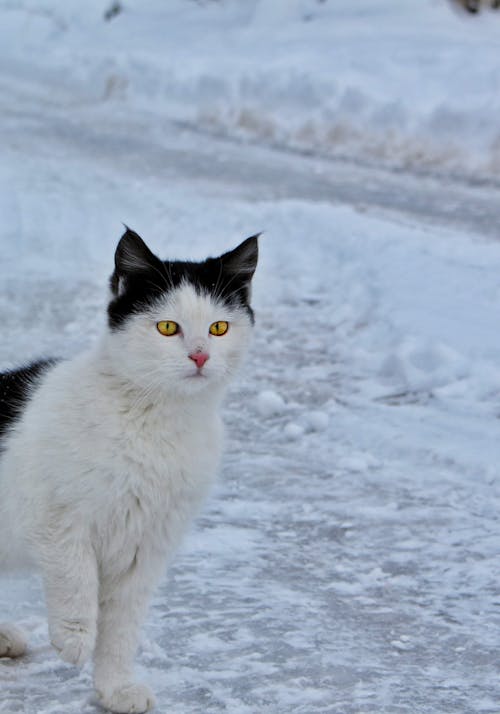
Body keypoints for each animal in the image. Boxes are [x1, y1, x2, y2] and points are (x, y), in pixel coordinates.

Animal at [0, 228, 258, 712]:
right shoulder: (57, 518)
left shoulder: (147, 545)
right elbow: (76, 574)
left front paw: (115, 688)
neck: (155, 421)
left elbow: (122, 627)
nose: (199, 356)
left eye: (218, 327)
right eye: (167, 327)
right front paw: (73, 636)